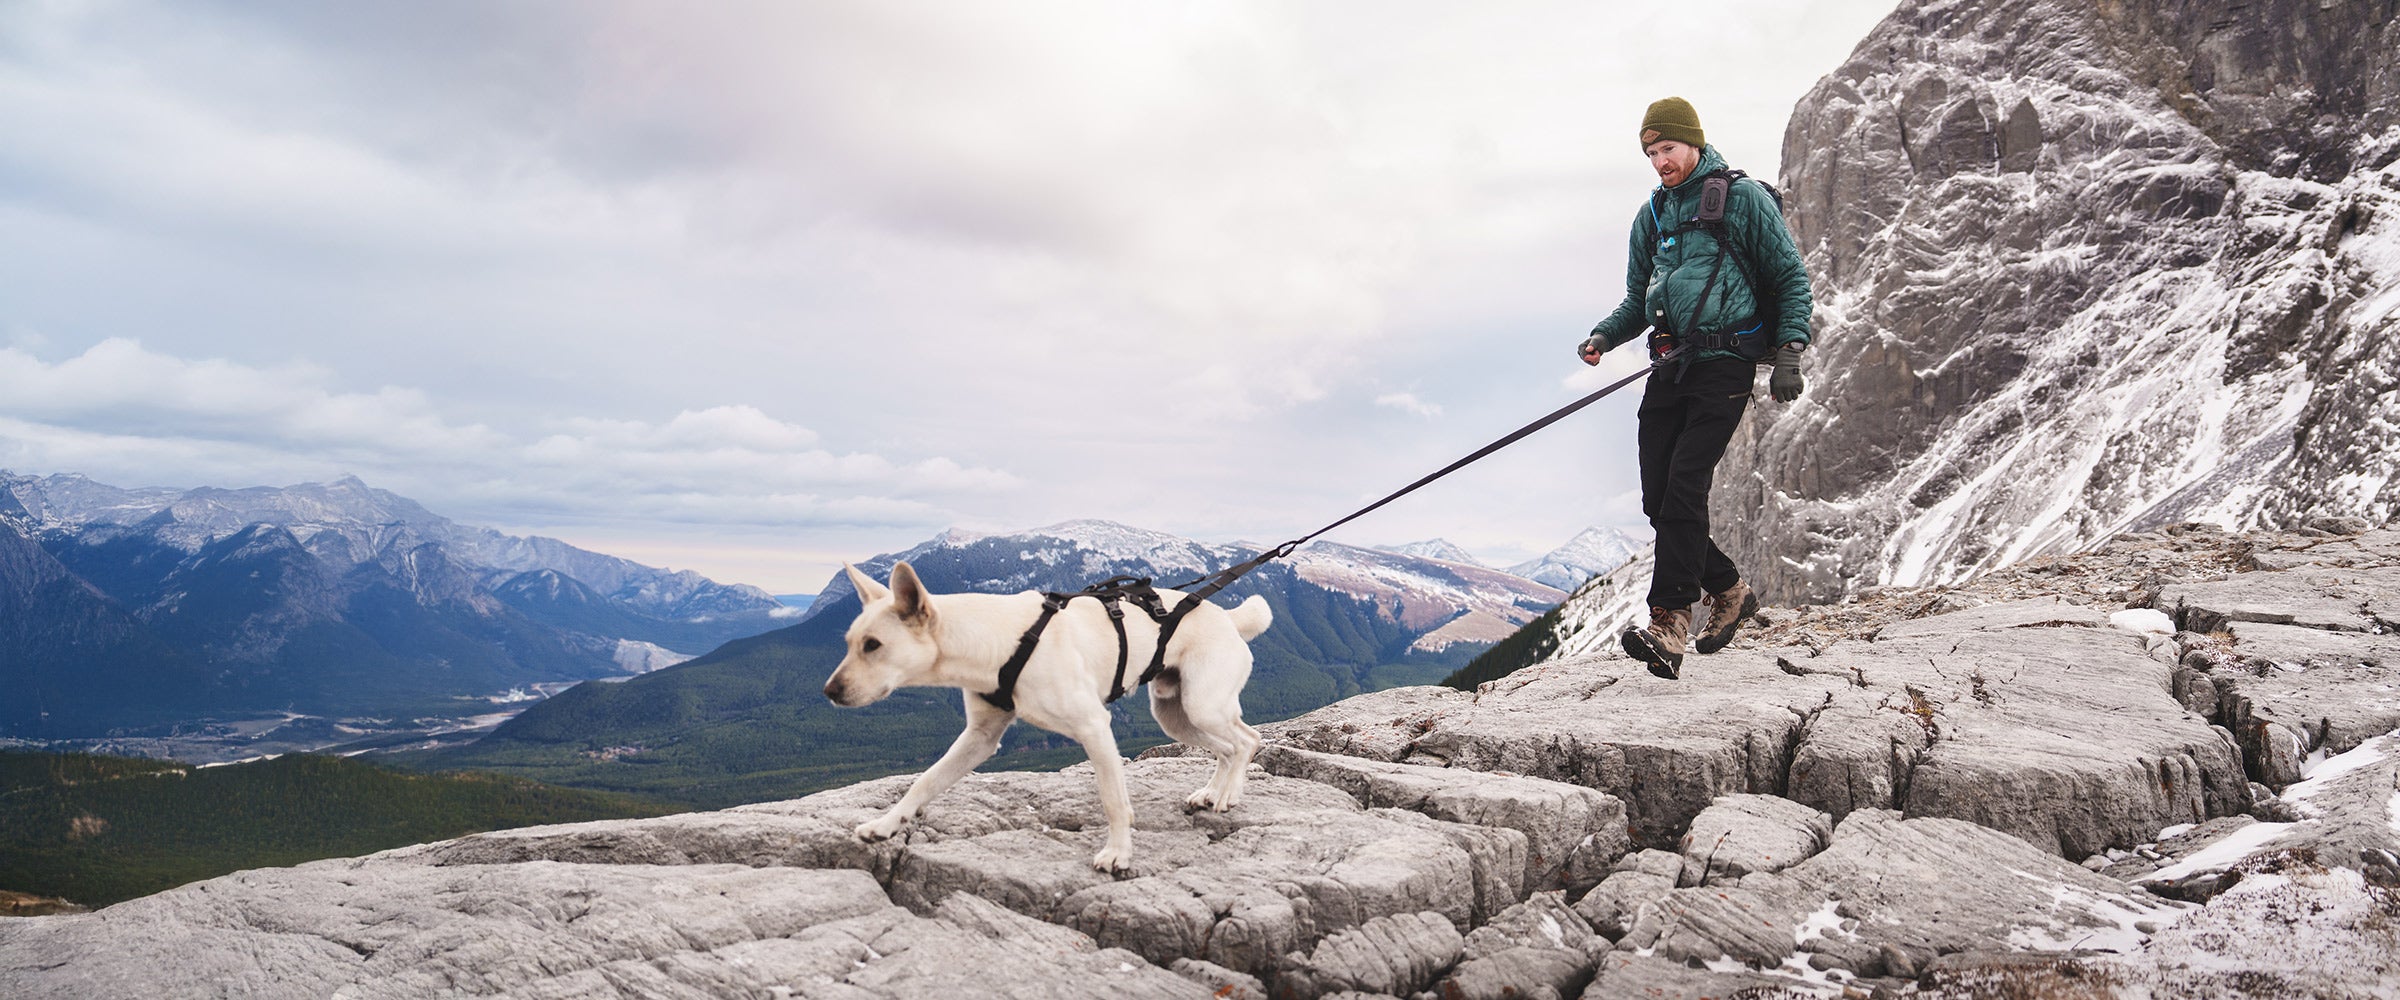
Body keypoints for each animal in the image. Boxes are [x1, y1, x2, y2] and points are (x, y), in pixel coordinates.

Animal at [825, 561, 1276, 872]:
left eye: (873, 645)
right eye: (848, 642)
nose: (829, 692)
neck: (1000, 640)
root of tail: (1229, 618)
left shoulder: (1094, 727)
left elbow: (1114, 801)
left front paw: (1117, 853)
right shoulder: (980, 737)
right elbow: (925, 782)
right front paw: (885, 825)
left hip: (1202, 704)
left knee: (1245, 740)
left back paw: (1227, 796)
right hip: (1175, 714)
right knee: (1231, 746)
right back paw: (1213, 793)